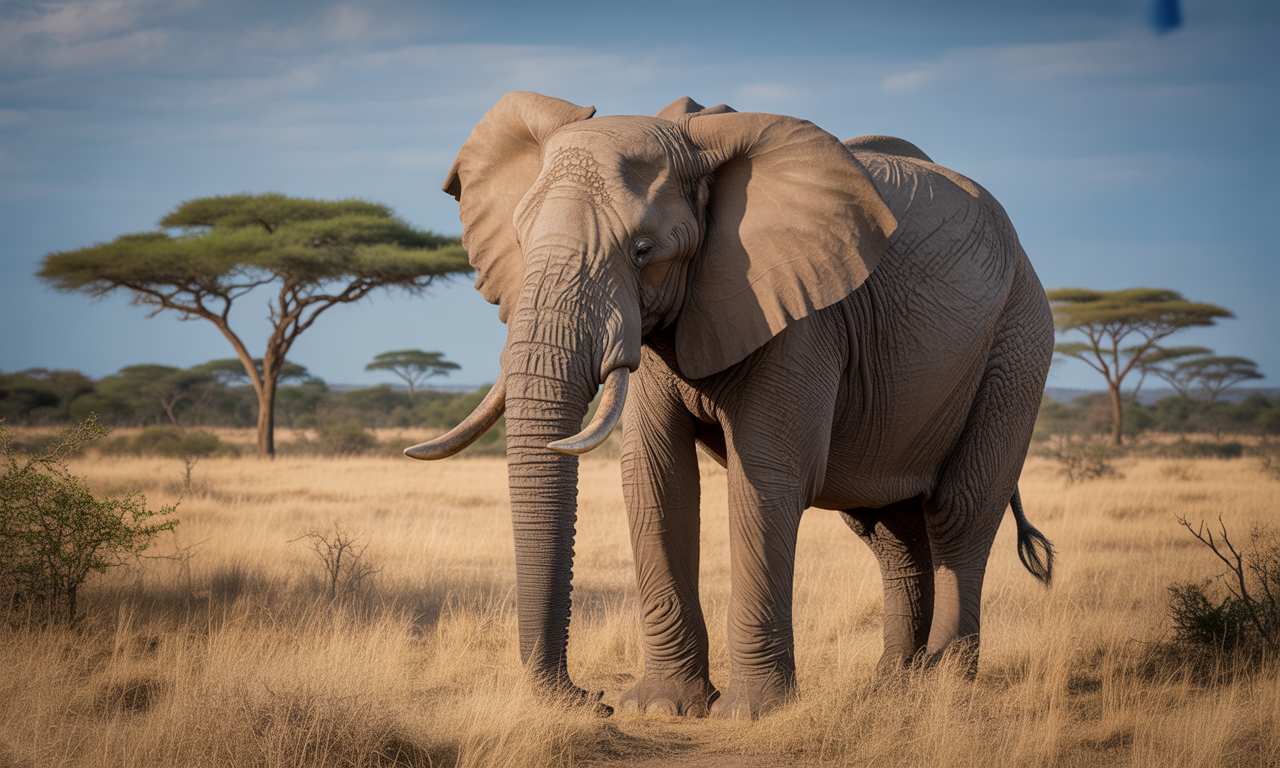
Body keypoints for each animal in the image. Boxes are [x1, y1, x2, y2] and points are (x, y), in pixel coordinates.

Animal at [406, 92, 1055, 719]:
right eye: (520, 241)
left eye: (643, 250)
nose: (590, 699)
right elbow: (656, 476)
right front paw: (661, 708)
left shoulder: (801, 313)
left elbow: (765, 476)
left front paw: (748, 714)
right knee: (888, 530)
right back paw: (894, 688)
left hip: (1017, 343)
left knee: (959, 511)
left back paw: (945, 688)